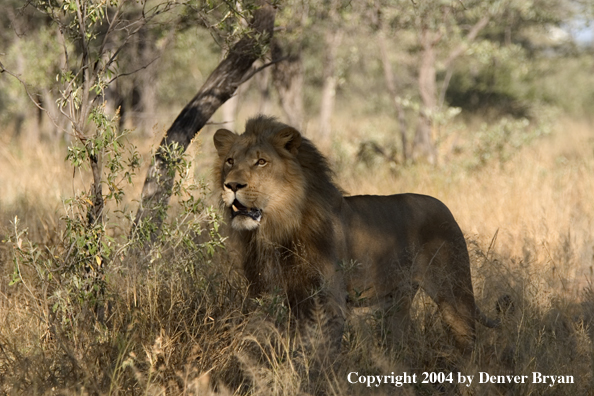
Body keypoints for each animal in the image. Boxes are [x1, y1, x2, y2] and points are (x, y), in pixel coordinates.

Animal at [212, 114, 494, 352]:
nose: (232, 185)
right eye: (230, 161)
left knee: (469, 340)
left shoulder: (328, 299)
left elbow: (319, 353)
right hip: (397, 298)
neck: (275, 229)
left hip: (454, 292)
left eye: (261, 162)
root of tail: (445, 207)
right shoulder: (265, 292)